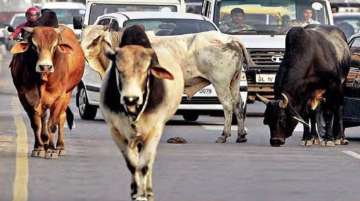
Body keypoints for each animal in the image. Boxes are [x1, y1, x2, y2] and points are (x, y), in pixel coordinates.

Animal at [9, 25, 85, 158]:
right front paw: (38, 148)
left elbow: (52, 124)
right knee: (43, 117)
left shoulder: (59, 97)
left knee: (61, 117)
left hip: (68, 93)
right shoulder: (24, 96)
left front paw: (51, 150)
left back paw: (59, 147)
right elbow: (36, 124)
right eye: (34, 46)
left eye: (54, 46)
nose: (45, 66)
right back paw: (45, 142)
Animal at [100, 25, 184, 201]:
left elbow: (144, 165)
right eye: (119, 69)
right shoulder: (116, 132)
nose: (130, 98)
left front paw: (143, 195)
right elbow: (132, 165)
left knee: (149, 162)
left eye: (146, 71)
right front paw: (136, 192)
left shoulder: (155, 130)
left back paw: (149, 190)